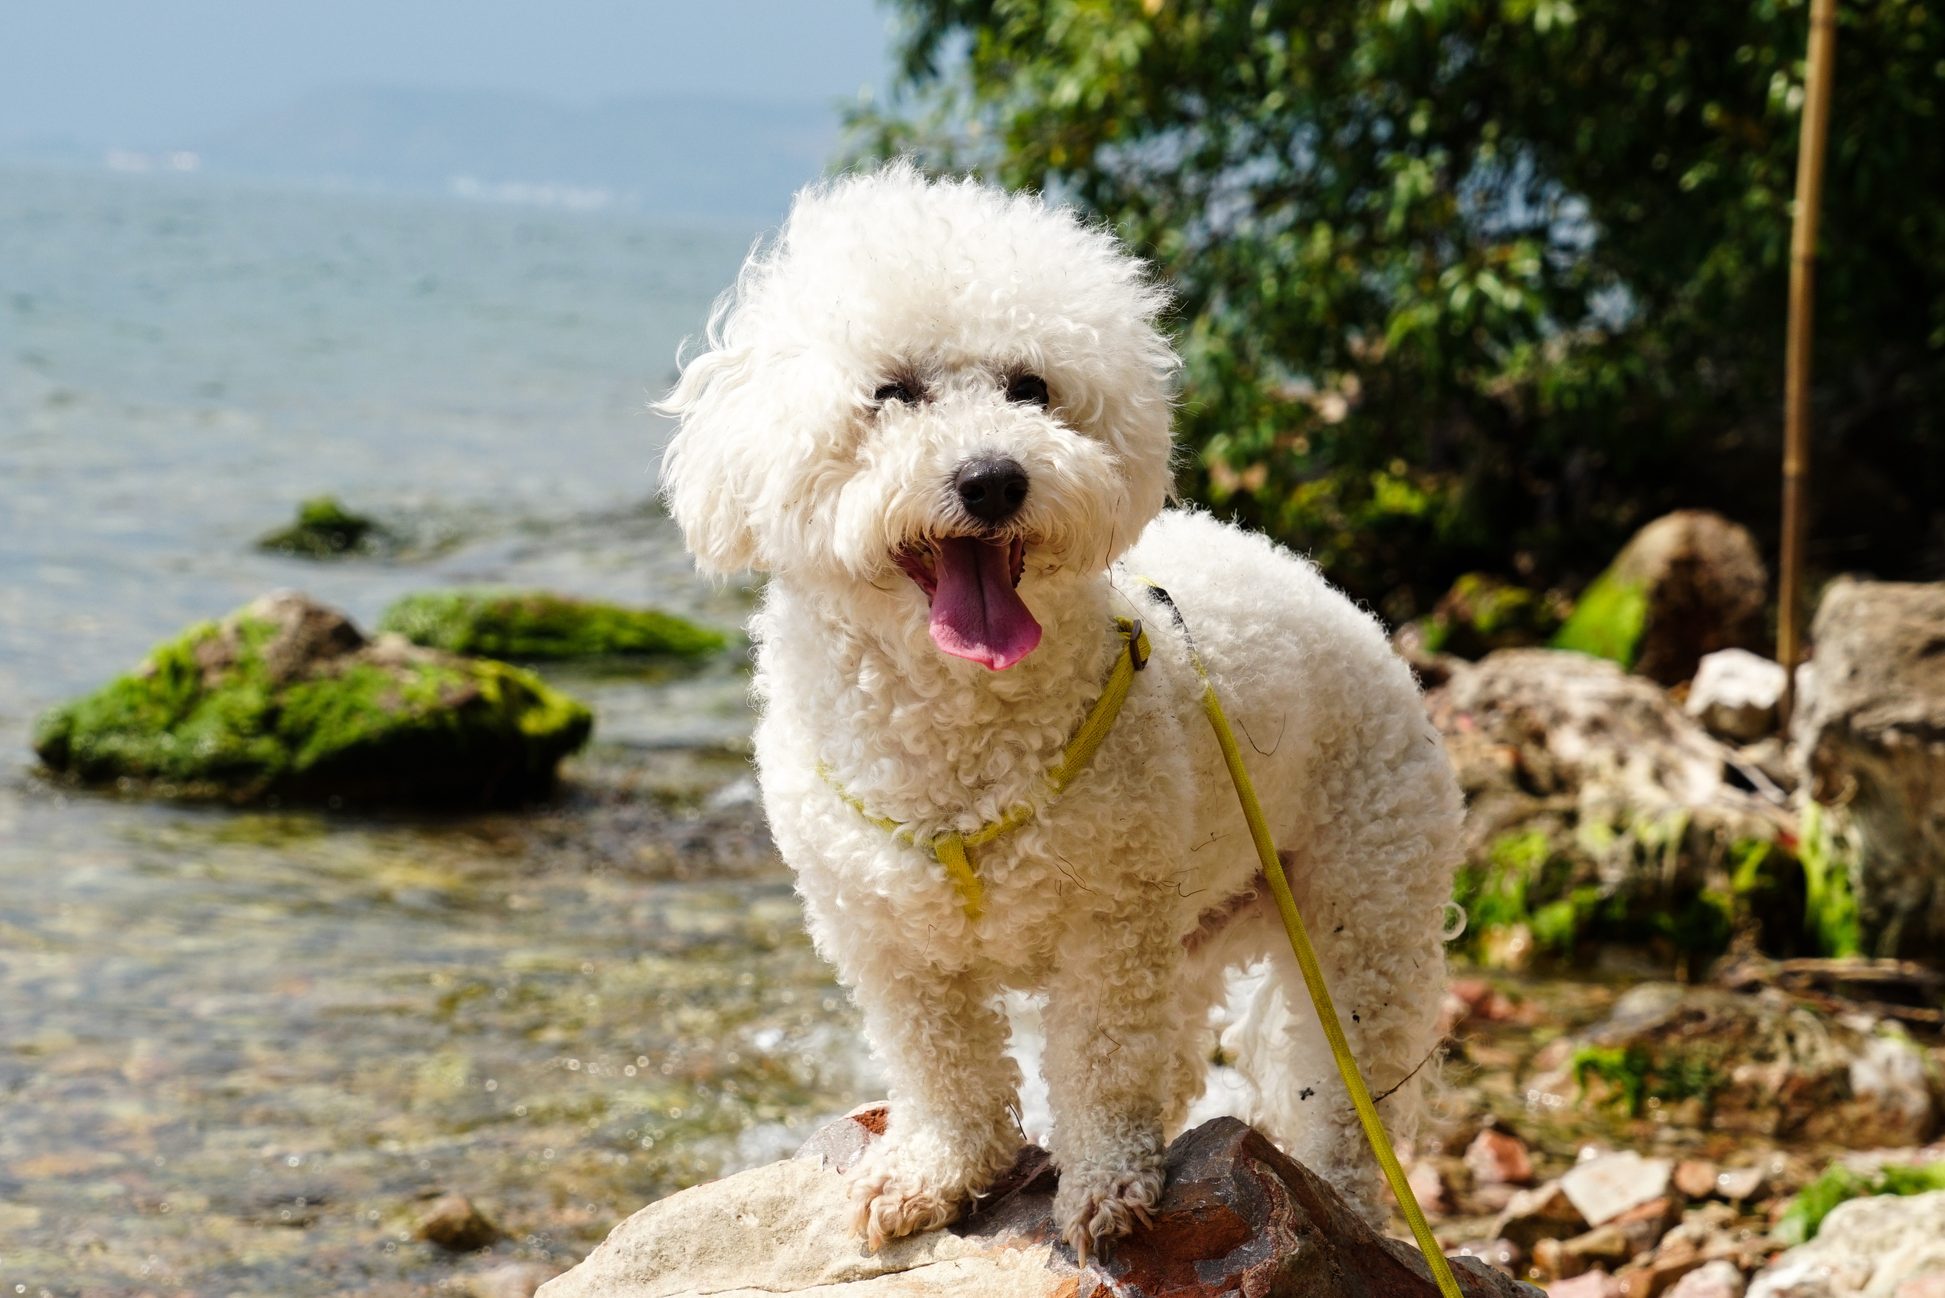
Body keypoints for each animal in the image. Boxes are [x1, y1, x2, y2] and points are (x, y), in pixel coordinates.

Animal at [653, 159, 1462, 1261]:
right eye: (891, 393)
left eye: (1030, 388)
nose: (993, 478)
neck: (958, 728)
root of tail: (1367, 623)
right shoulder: (886, 940)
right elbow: (943, 1067)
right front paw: (936, 1172)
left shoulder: (1109, 930)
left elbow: (1100, 1062)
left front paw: (1107, 1185)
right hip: (1198, 923)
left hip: (1360, 903)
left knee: (1342, 1081)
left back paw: (1342, 1199)